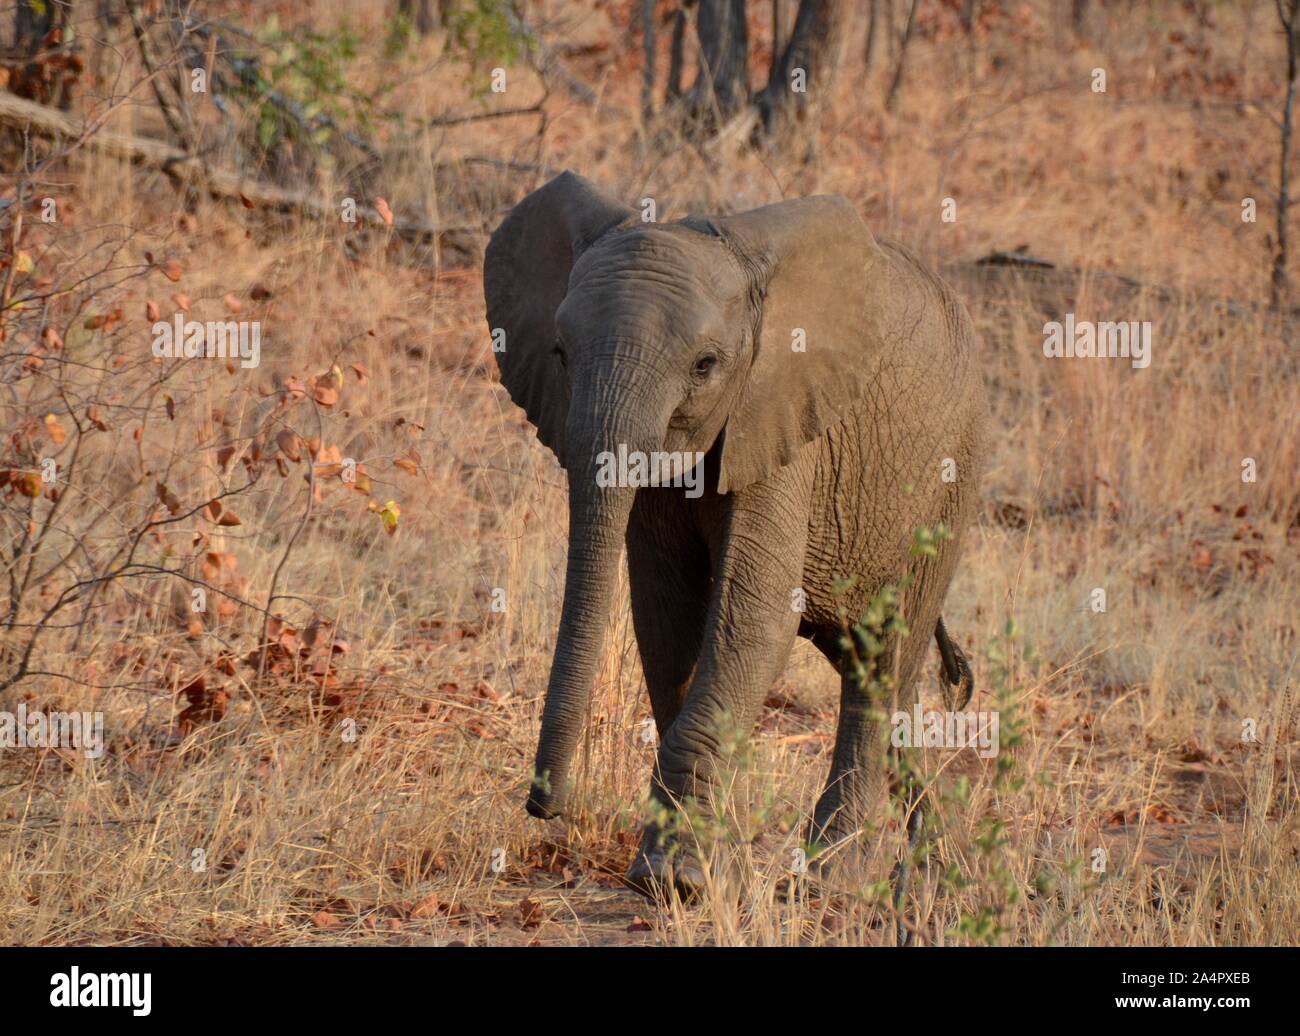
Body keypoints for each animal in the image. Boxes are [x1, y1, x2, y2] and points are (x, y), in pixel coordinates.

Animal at [488, 171, 982, 899]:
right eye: (559, 353)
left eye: (705, 364)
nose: (545, 805)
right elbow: (668, 620)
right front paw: (699, 866)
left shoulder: (781, 420)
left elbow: (751, 619)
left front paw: (674, 881)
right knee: (876, 666)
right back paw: (935, 871)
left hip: (951, 476)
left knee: (884, 658)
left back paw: (831, 878)